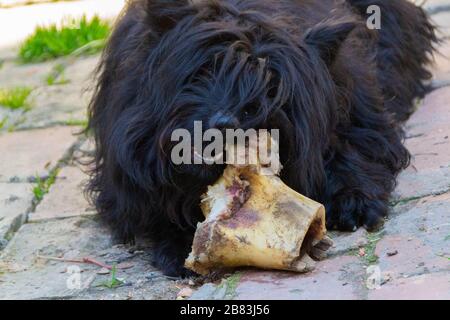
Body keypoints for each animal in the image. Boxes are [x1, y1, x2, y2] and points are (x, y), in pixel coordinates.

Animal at [87, 0, 436, 276]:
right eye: (204, 71)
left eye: (271, 88)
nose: (225, 126)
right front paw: (182, 238)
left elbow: (353, 145)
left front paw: (353, 197)